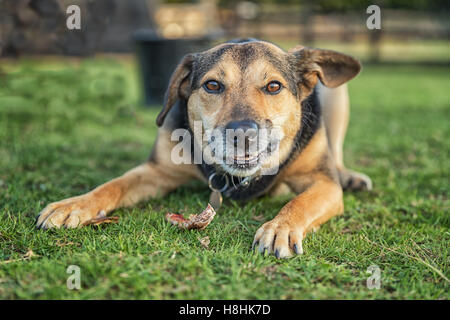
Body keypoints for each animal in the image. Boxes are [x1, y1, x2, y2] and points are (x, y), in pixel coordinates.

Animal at [36, 38, 372, 258]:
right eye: (212, 85)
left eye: (274, 86)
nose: (242, 133)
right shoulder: (156, 171)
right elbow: (113, 185)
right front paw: (73, 205)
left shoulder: (324, 184)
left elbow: (300, 202)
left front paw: (280, 227)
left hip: (336, 96)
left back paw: (351, 177)